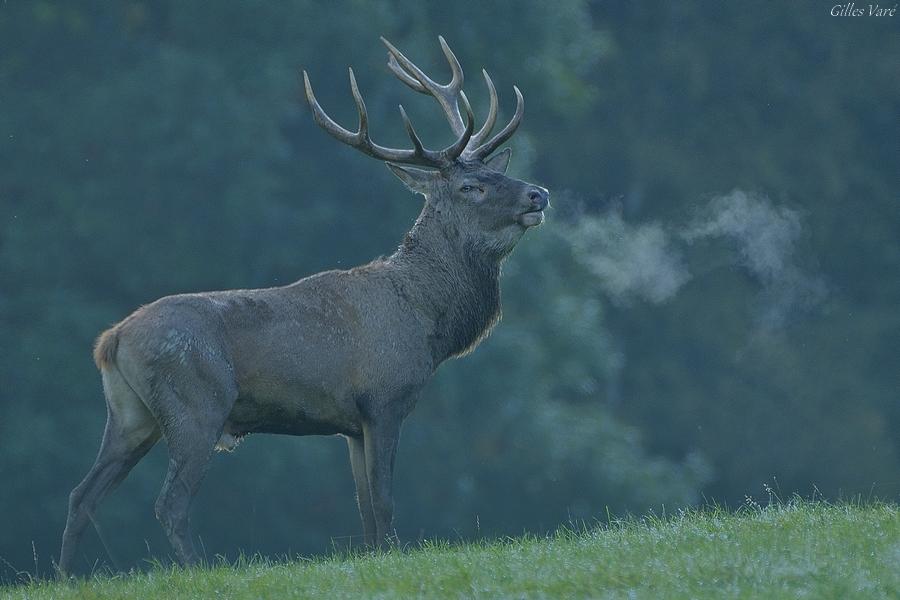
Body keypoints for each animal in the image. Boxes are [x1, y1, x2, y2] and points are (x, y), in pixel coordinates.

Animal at [58, 36, 549, 574]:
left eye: (493, 174)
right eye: (470, 187)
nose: (539, 193)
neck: (427, 322)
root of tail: (111, 340)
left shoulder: (351, 425)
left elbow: (364, 507)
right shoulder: (384, 399)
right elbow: (383, 501)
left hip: (130, 414)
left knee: (82, 494)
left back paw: (64, 576)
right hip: (196, 404)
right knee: (170, 503)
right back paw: (197, 568)